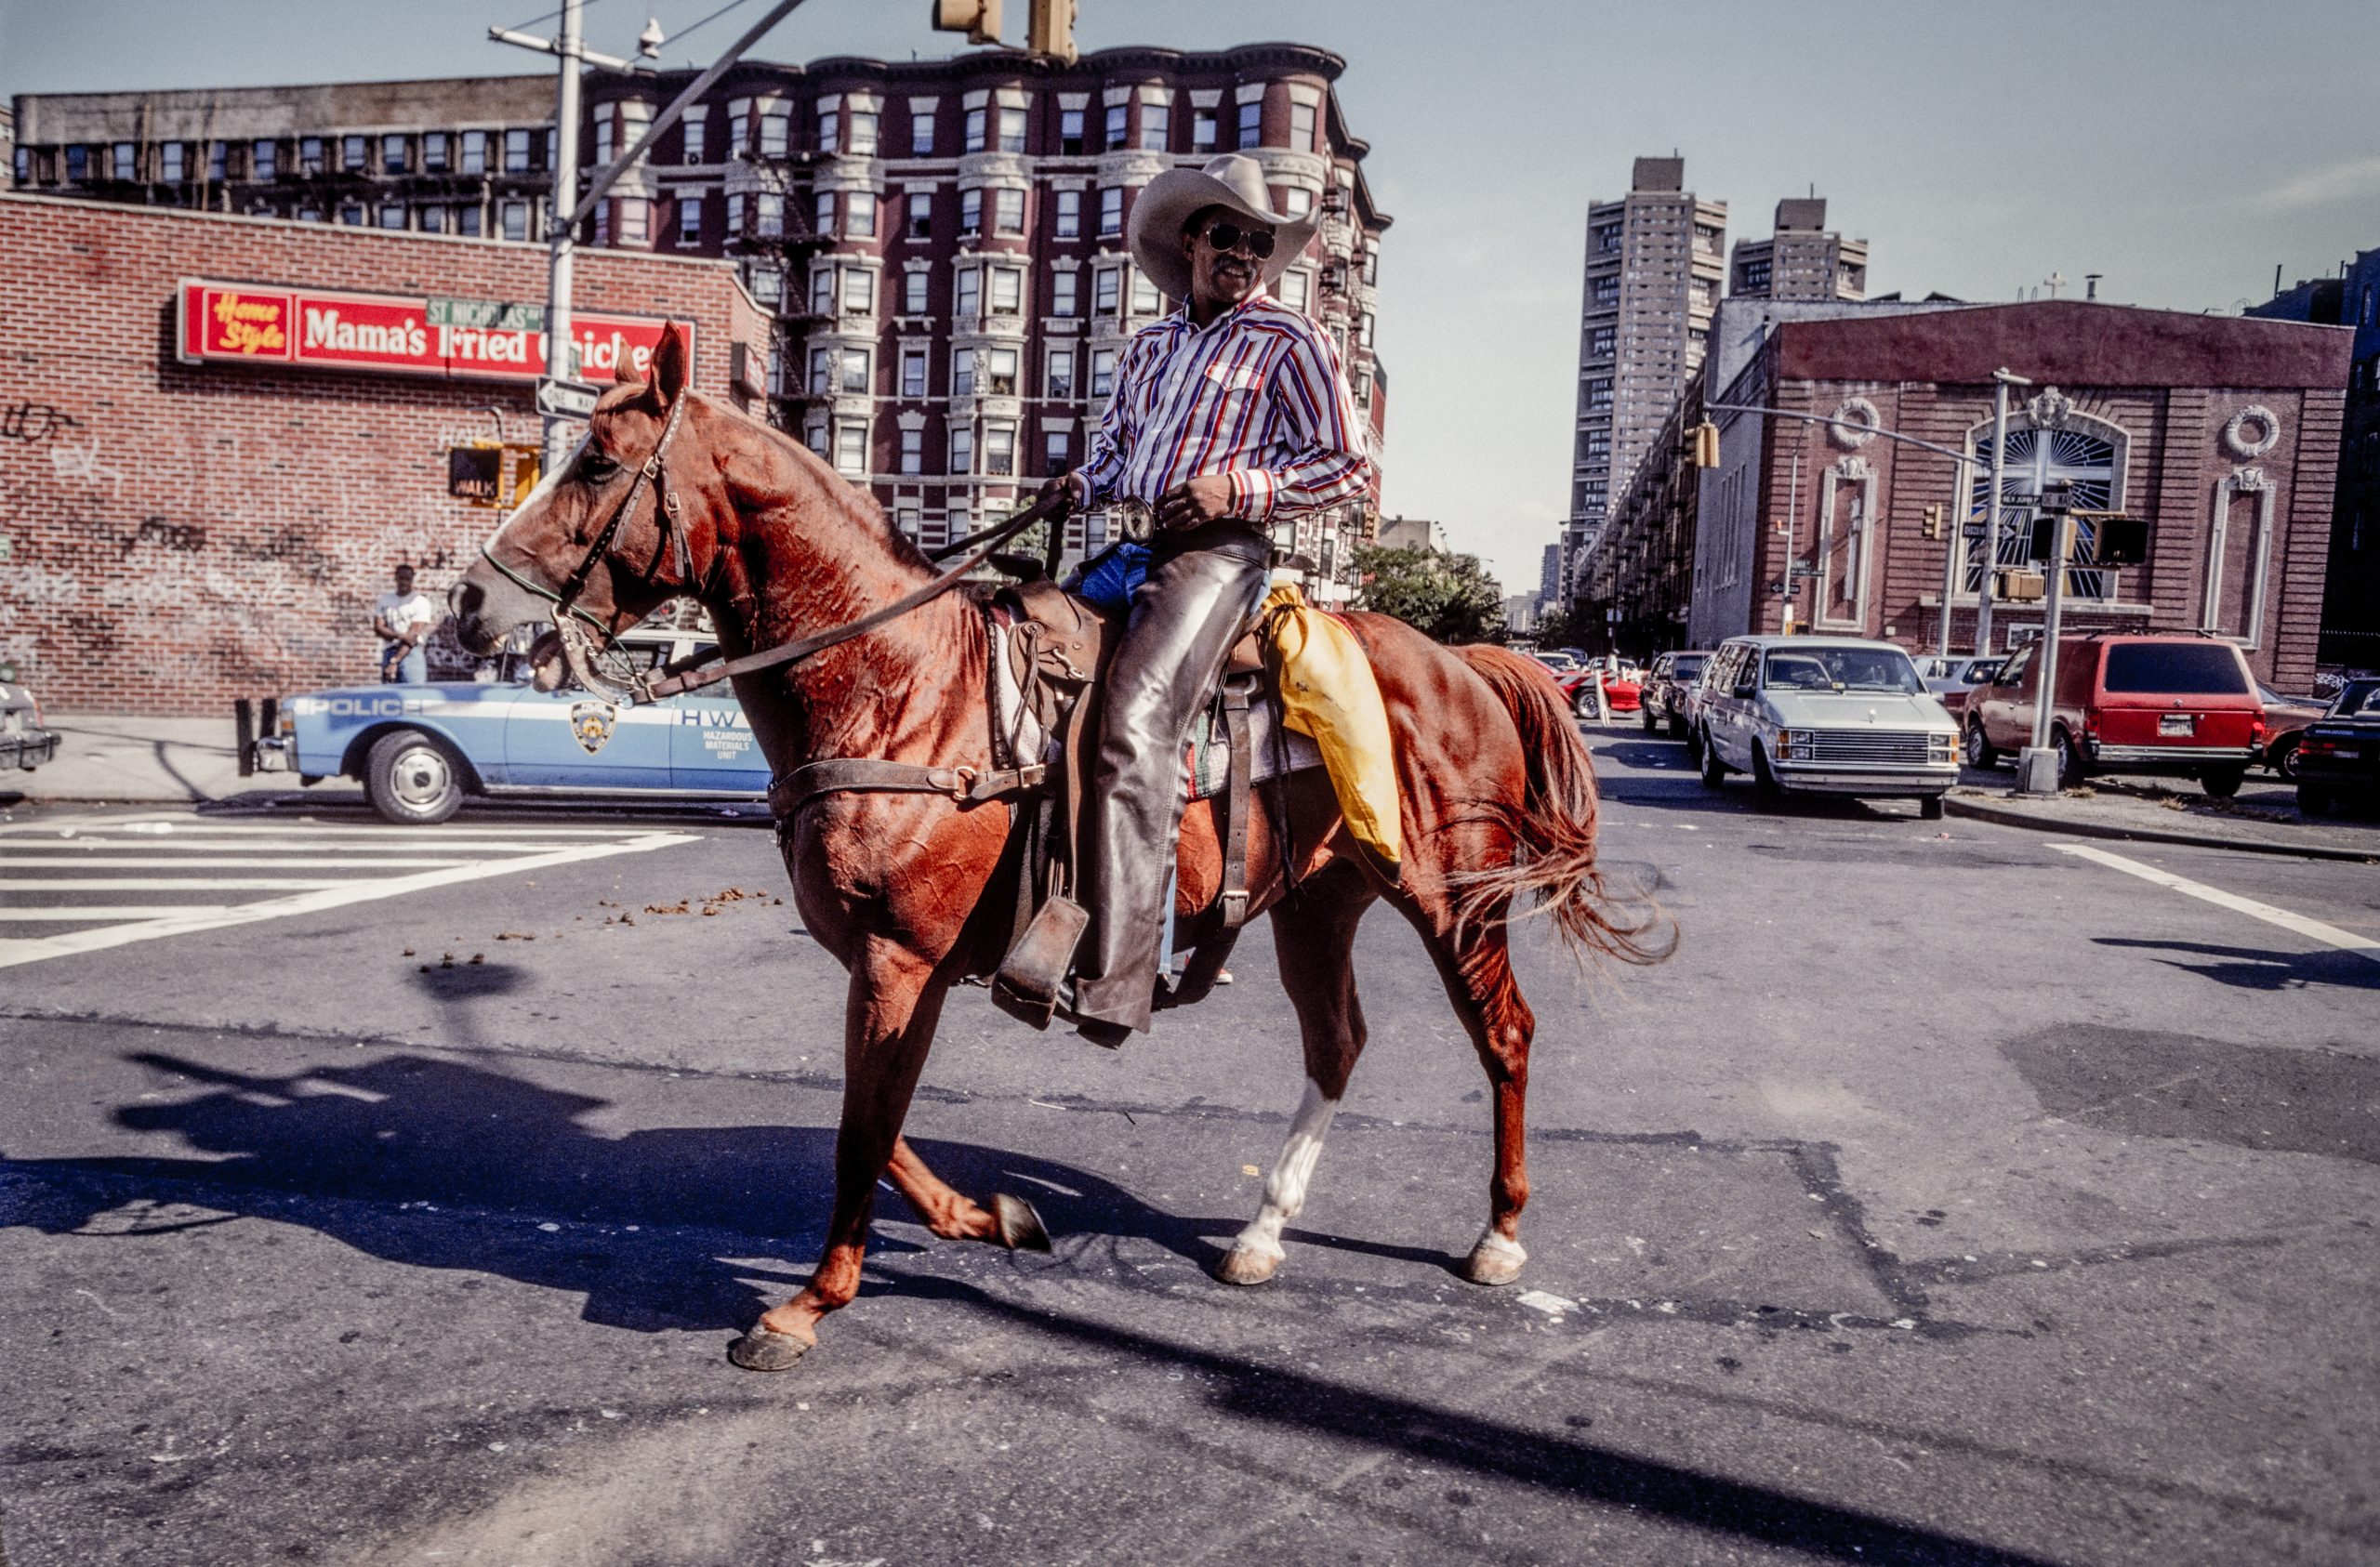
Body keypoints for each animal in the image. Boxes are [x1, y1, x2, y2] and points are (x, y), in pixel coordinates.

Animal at [454, 328, 1666, 1369]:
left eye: (595, 463)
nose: (468, 604)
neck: (904, 687)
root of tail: (1472, 660)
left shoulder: (897, 958)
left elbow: (860, 1129)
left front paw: (807, 1304)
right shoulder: (898, 965)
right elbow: (878, 1119)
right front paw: (986, 1216)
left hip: (1452, 898)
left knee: (1504, 1035)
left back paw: (1497, 1237)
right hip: (1319, 901)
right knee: (1337, 1045)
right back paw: (1261, 1235)